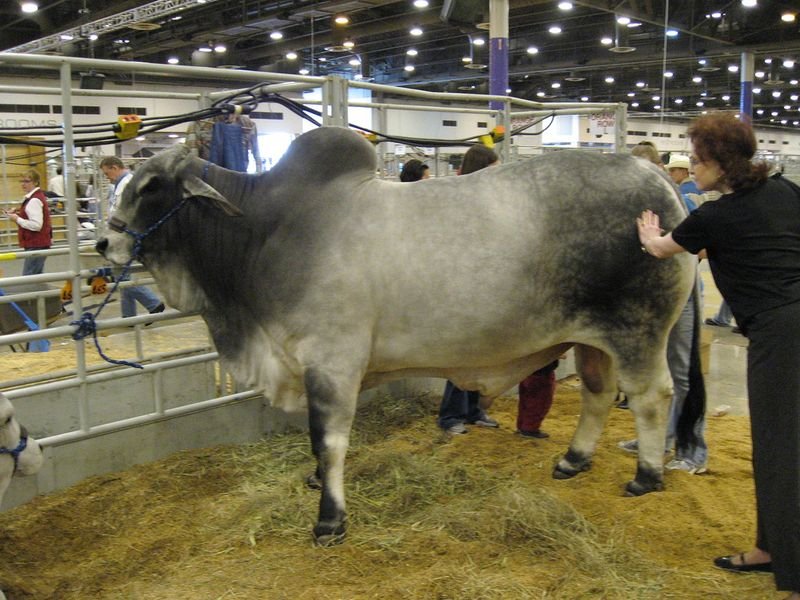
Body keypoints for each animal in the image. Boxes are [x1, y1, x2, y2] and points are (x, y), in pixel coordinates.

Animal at [95, 126, 703, 545]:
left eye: (150, 185)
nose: (105, 243)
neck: (265, 232)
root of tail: (661, 186)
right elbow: (320, 446)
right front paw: (317, 486)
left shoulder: (331, 360)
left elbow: (328, 439)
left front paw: (330, 520)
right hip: (592, 339)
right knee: (599, 395)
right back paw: (573, 461)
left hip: (637, 330)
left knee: (653, 397)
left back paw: (647, 475)